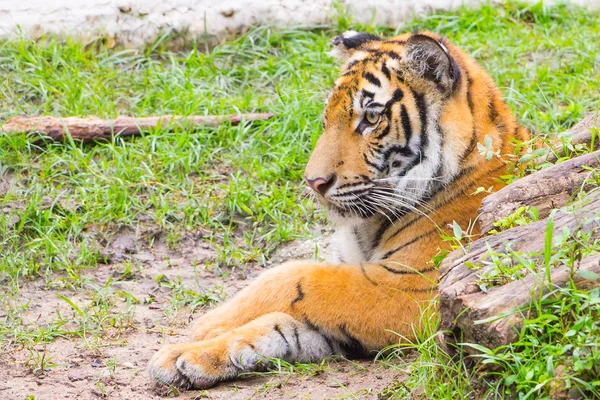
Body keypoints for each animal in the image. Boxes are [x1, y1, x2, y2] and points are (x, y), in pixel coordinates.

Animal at [148, 29, 528, 390]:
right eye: (326, 118)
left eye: (371, 118)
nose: (313, 182)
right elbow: (280, 327)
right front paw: (186, 357)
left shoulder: (412, 288)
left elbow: (293, 275)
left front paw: (206, 325)